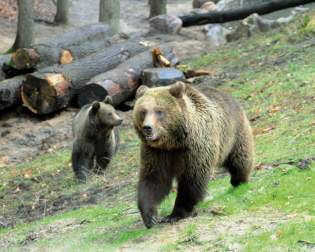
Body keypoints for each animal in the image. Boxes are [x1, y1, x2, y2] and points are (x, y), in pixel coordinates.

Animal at [133, 81, 254, 227]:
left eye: (159, 111)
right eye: (143, 111)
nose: (148, 128)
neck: (174, 142)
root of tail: (229, 96)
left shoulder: (195, 146)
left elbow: (192, 179)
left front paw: (175, 214)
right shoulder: (156, 152)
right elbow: (154, 179)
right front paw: (150, 217)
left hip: (234, 133)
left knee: (240, 159)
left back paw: (239, 181)